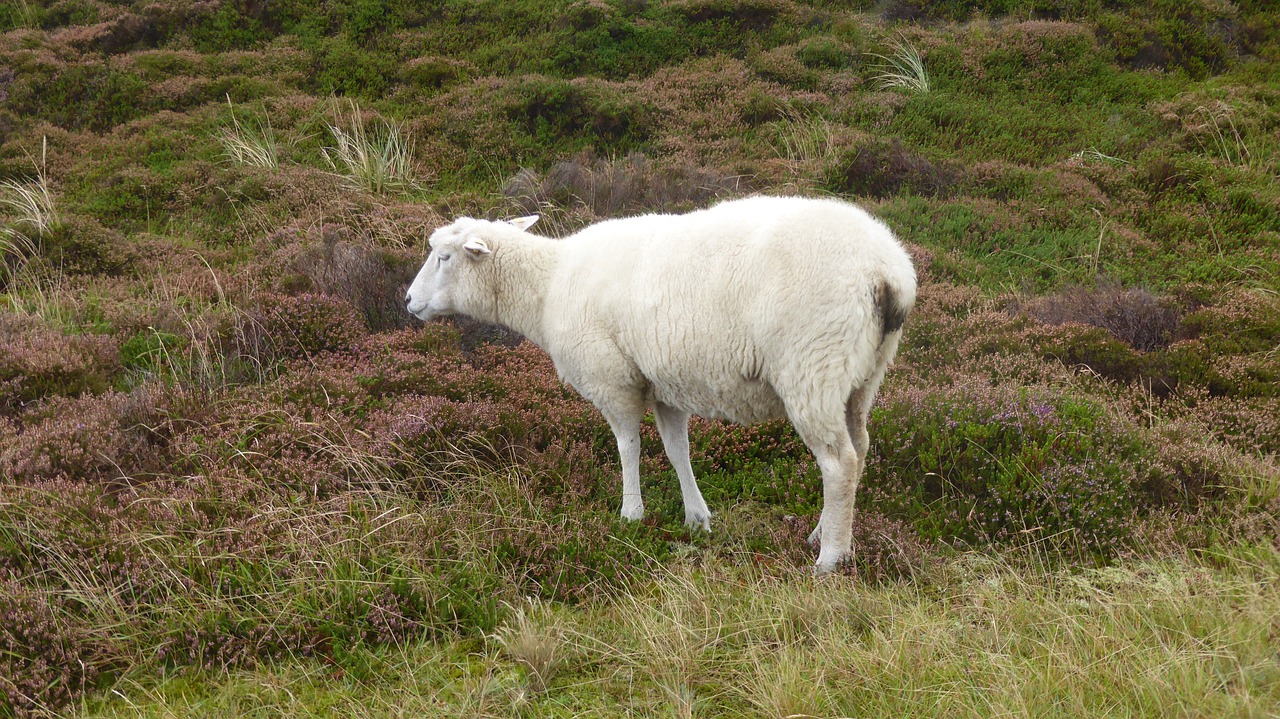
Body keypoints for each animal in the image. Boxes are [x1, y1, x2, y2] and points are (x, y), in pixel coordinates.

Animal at [404, 194, 916, 570]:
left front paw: (631, 514)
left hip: (813, 366)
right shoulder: (666, 383)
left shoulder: (611, 378)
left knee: (838, 463)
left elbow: (628, 446)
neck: (547, 287)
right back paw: (825, 533)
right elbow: (676, 450)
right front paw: (697, 518)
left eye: (444, 257)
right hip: (861, 376)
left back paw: (829, 558)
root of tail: (887, 271)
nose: (408, 301)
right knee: (860, 447)